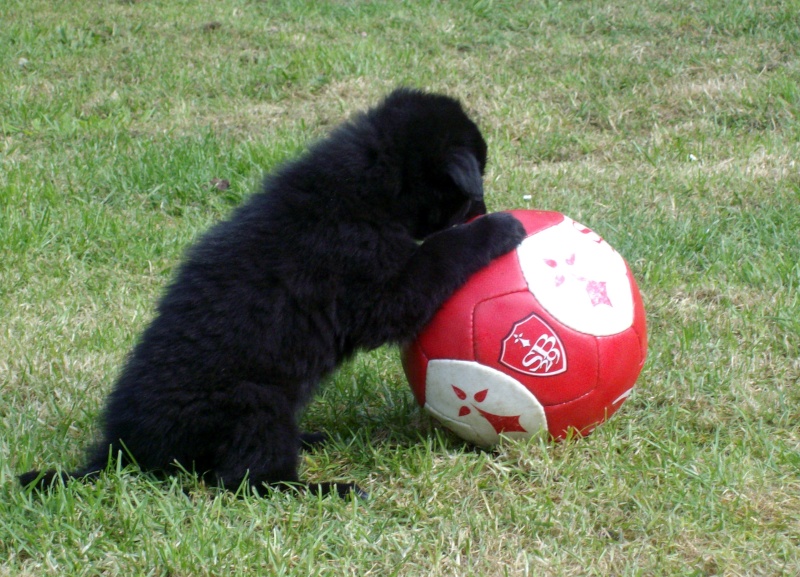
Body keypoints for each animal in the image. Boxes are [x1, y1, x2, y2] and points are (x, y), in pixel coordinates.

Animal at [18, 88, 524, 498]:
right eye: (470, 193)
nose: (484, 209)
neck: (365, 187)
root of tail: (122, 449)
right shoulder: (375, 288)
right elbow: (436, 256)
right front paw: (498, 230)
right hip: (258, 404)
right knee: (247, 482)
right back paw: (328, 489)